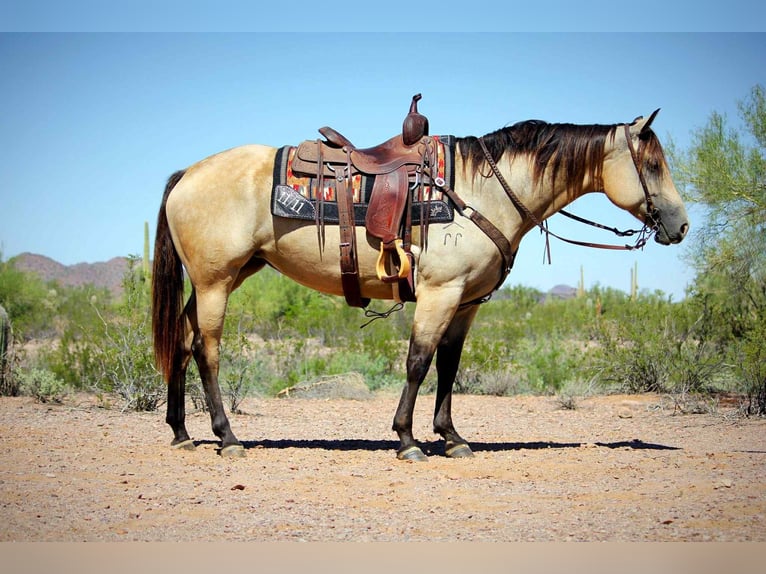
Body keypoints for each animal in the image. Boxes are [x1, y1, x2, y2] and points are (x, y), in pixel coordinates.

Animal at [151, 108, 689, 460]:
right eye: (653, 164)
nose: (681, 225)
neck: (482, 191)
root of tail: (187, 173)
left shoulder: (467, 301)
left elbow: (448, 366)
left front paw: (451, 438)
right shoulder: (439, 291)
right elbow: (418, 360)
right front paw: (408, 440)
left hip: (224, 277)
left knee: (180, 339)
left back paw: (181, 432)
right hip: (216, 281)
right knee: (206, 349)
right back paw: (227, 438)